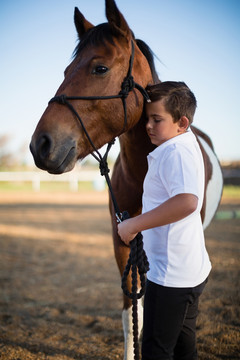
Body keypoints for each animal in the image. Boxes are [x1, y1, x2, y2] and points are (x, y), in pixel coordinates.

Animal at [30, 1, 223, 358]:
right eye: (65, 72)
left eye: (100, 68)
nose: (41, 145)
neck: (144, 172)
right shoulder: (122, 240)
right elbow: (132, 313)